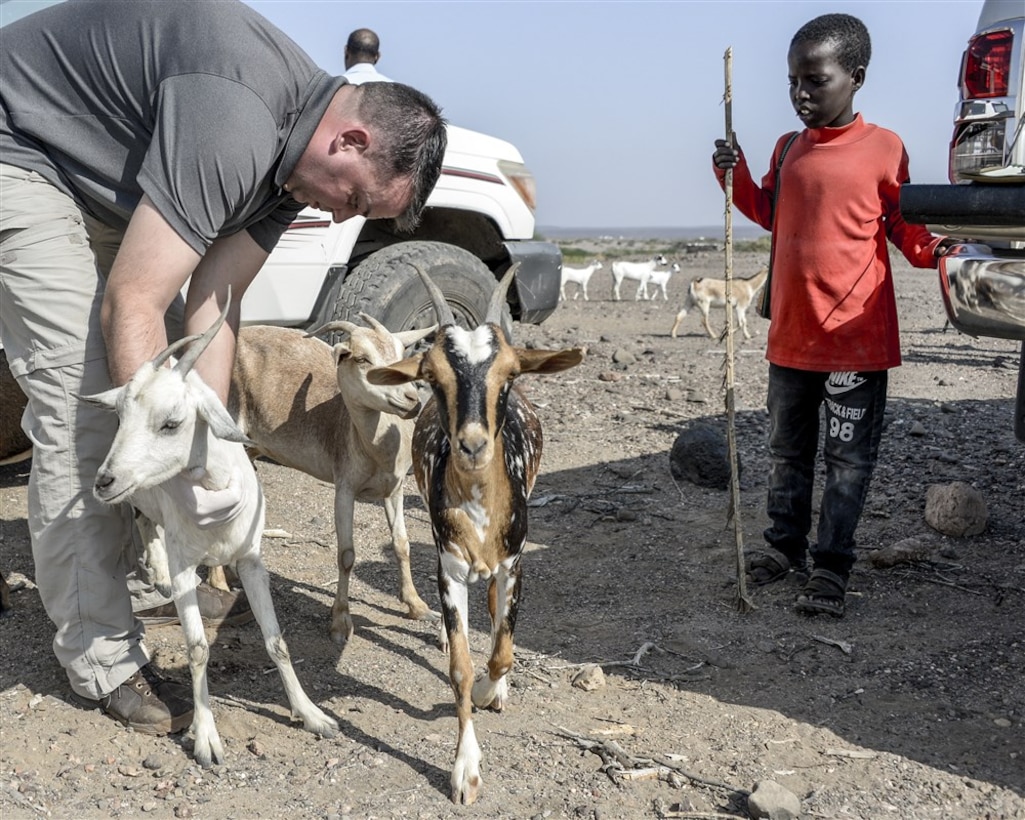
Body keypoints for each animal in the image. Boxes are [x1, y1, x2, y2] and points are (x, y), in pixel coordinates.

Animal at [85, 301, 336, 770]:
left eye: (171, 423)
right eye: (121, 417)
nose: (104, 481)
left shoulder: (251, 562)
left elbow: (277, 641)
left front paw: (311, 714)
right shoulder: (188, 566)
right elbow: (198, 648)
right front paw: (205, 737)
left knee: (146, 521)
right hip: (141, 499)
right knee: (142, 520)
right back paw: (158, 571)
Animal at [228, 317, 436, 643]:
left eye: (402, 353)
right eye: (361, 359)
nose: (412, 399)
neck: (374, 451)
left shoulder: (395, 489)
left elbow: (402, 544)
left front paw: (417, 606)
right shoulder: (344, 487)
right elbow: (346, 555)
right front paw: (340, 622)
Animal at [371, 264, 586, 807]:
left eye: (509, 373)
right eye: (431, 376)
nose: (471, 445)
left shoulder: (515, 564)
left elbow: (503, 650)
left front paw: (493, 691)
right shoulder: (448, 570)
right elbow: (462, 668)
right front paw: (465, 768)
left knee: (492, 611)